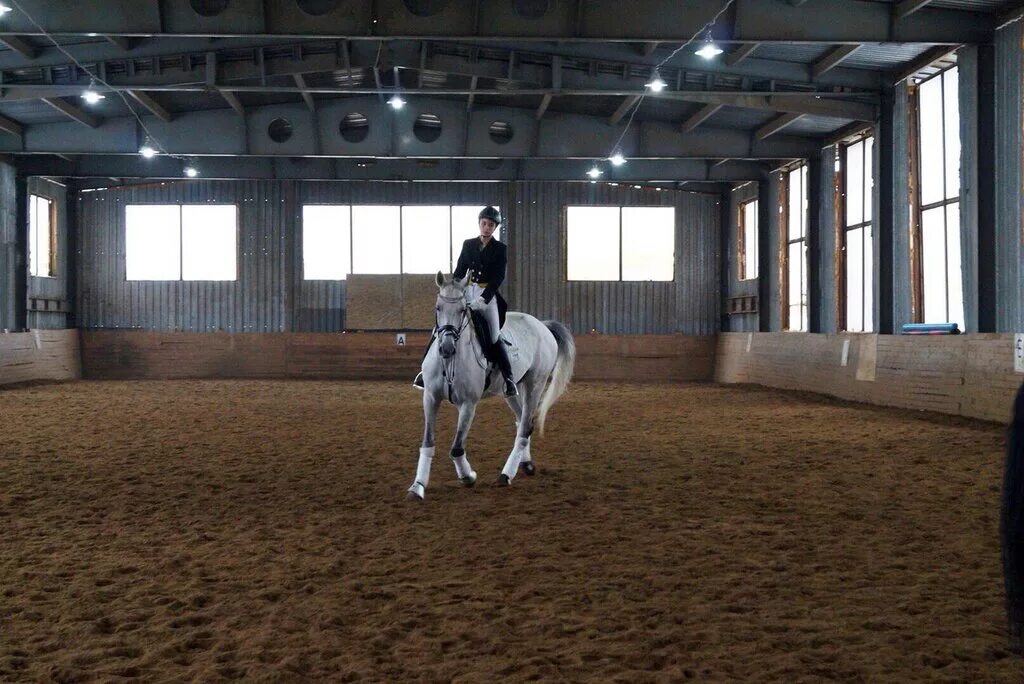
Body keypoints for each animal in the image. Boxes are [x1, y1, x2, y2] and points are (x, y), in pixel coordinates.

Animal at [411, 270, 581, 499]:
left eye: (463, 309)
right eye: (438, 308)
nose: (446, 348)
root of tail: (542, 325)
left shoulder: (468, 404)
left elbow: (457, 447)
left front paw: (469, 476)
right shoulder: (430, 397)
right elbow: (428, 443)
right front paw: (418, 486)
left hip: (535, 384)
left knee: (525, 426)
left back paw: (506, 475)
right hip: (513, 389)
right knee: (522, 423)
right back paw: (526, 465)